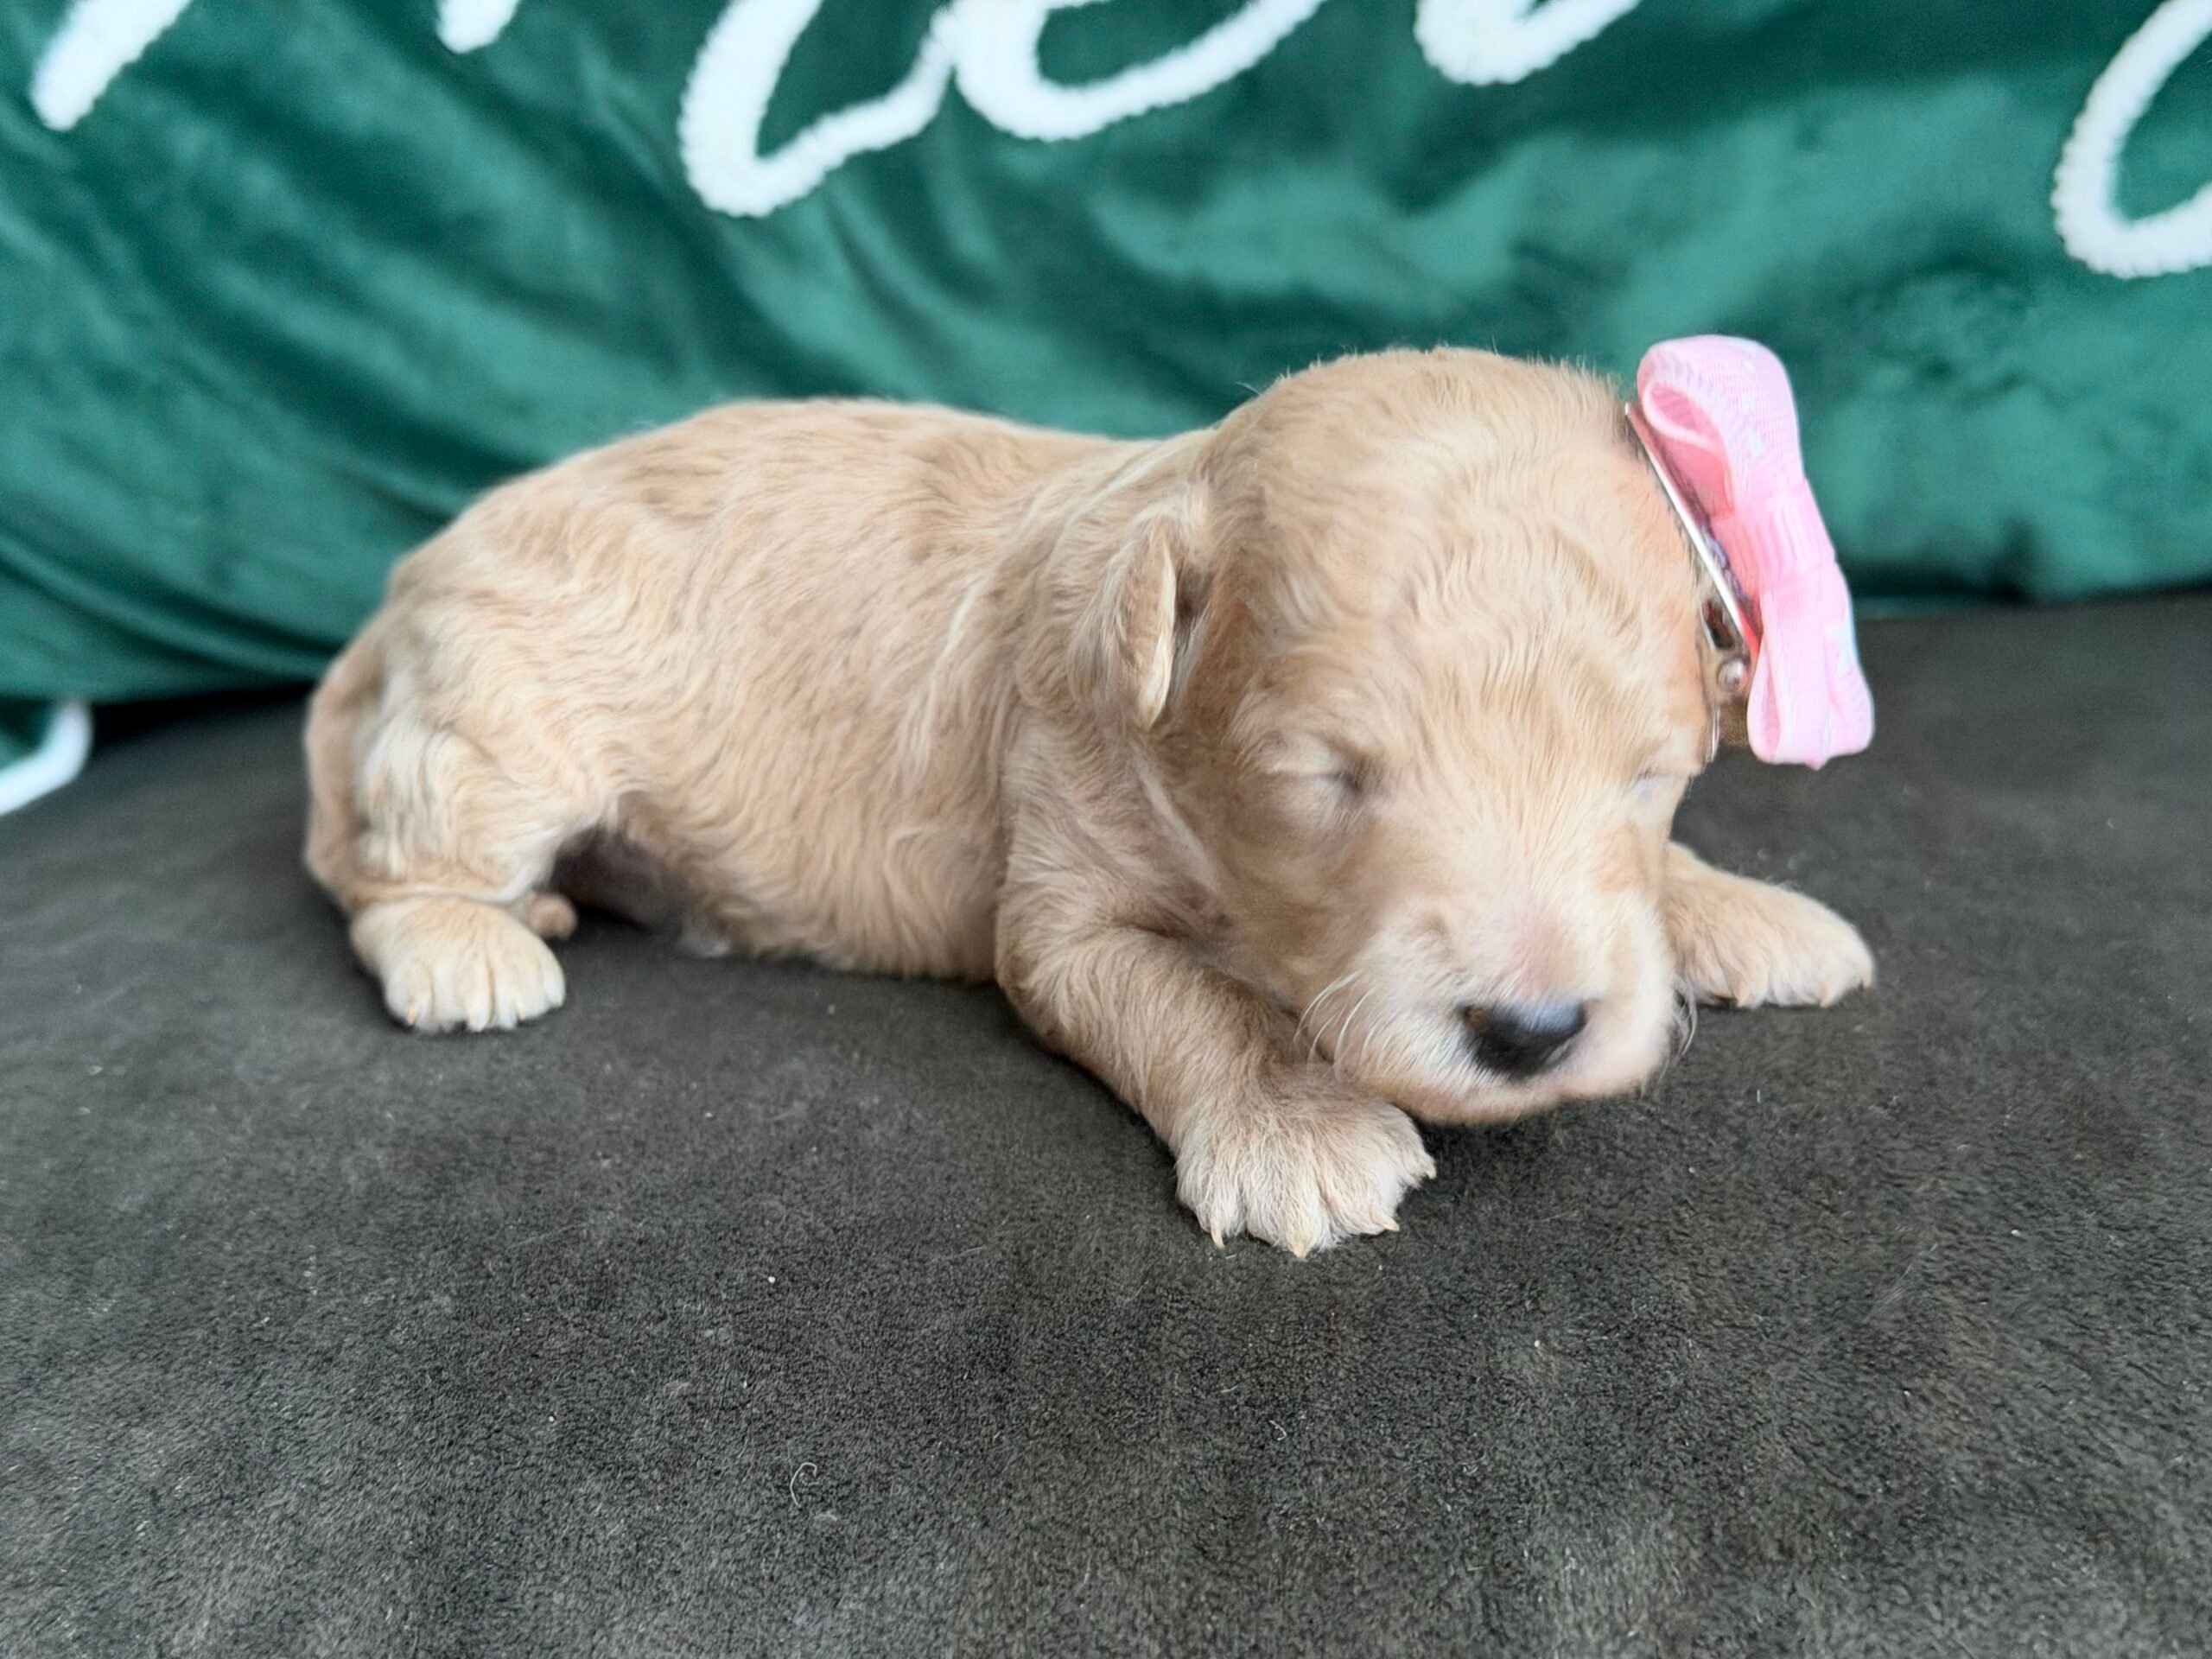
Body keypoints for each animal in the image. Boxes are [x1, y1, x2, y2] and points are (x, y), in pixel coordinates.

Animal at [305, 348, 1873, 1254]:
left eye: (1652, 776)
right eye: (1327, 783)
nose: (1534, 1033)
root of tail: (399, 586)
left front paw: (1741, 910)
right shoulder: (1063, 873)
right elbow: (1182, 997)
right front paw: (1299, 1131)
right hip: (500, 722)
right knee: (389, 870)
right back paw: (470, 946)